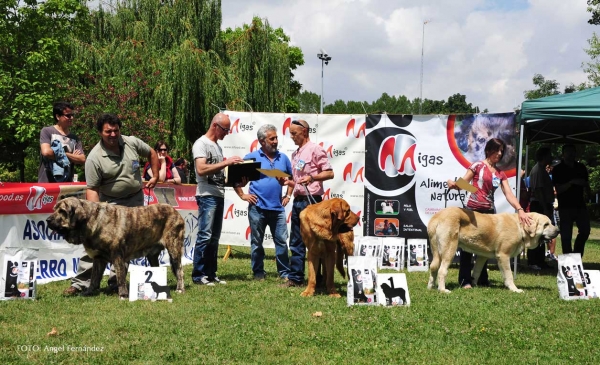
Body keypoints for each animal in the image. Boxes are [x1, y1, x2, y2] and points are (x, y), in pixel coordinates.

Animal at [47, 198, 184, 298]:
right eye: (55, 209)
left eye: (62, 211)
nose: (48, 220)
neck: (91, 221)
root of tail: (176, 212)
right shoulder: (98, 258)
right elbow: (93, 279)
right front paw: (88, 292)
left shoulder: (117, 256)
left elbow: (120, 277)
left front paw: (123, 295)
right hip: (152, 256)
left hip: (174, 248)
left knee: (179, 270)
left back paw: (180, 289)